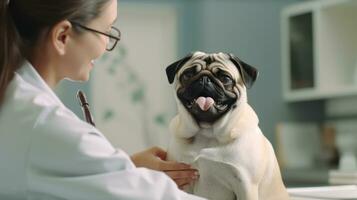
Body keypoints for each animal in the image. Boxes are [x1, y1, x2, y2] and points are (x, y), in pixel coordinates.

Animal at [165, 50, 288, 199]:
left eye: (225, 78)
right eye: (188, 74)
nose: (204, 79)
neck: (207, 132)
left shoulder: (246, 185)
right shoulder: (184, 181)